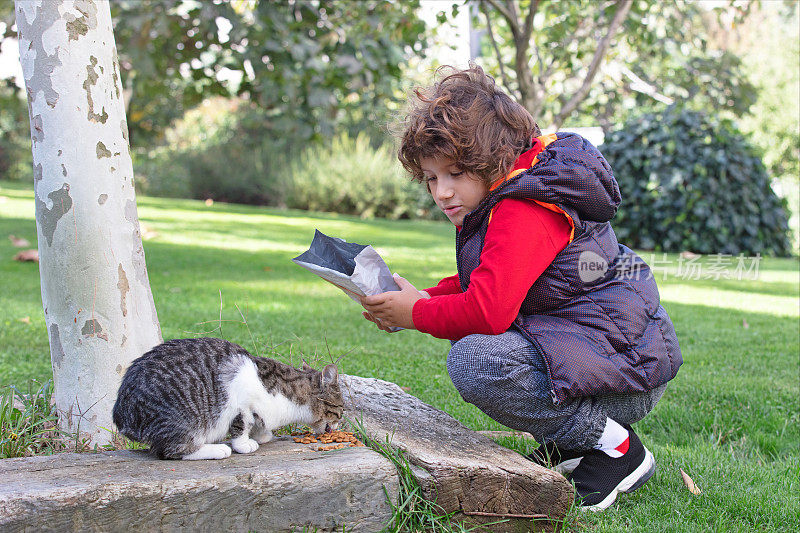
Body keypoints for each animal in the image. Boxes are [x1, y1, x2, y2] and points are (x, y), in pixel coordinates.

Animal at [111, 336, 342, 458]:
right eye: (341, 410)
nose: (340, 422)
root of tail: (122, 413)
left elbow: (259, 424)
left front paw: (262, 435)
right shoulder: (242, 403)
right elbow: (242, 426)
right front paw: (245, 444)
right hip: (181, 420)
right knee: (174, 450)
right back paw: (217, 449)